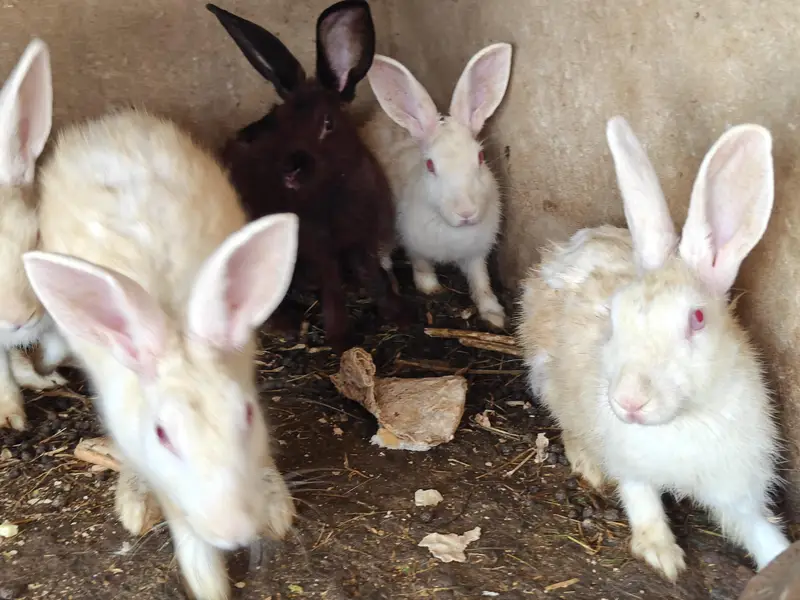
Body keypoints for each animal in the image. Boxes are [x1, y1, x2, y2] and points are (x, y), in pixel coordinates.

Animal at [22, 109, 299, 600]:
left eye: (247, 415)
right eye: (162, 434)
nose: (233, 531)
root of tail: (111, 121)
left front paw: (275, 506)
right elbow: (185, 531)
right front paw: (209, 584)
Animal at [207, 0, 410, 354]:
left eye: (327, 123)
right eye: (277, 122)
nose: (291, 169)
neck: (331, 190)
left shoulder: (362, 240)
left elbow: (372, 275)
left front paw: (398, 315)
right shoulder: (318, 250)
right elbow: (332, 289)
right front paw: (341, 340)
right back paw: (287, 324)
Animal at [360, 43, 513, 330]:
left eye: (480, 157)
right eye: (430, 165)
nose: (466, 213)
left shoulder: (477, 254)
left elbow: (481, 280)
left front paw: (494, 315)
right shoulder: (414, 244)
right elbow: (421, 265)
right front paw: (430, 289)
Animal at [517, 115, 791, 581]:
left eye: (696, 319)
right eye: (614, 314)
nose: (629, 402)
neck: (685, 419)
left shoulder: (737, 487)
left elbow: (760, 532)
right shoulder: (630, 462)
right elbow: (640, 497)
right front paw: (662, 554)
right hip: (549, 379)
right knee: (569, 427)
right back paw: (588, 466)